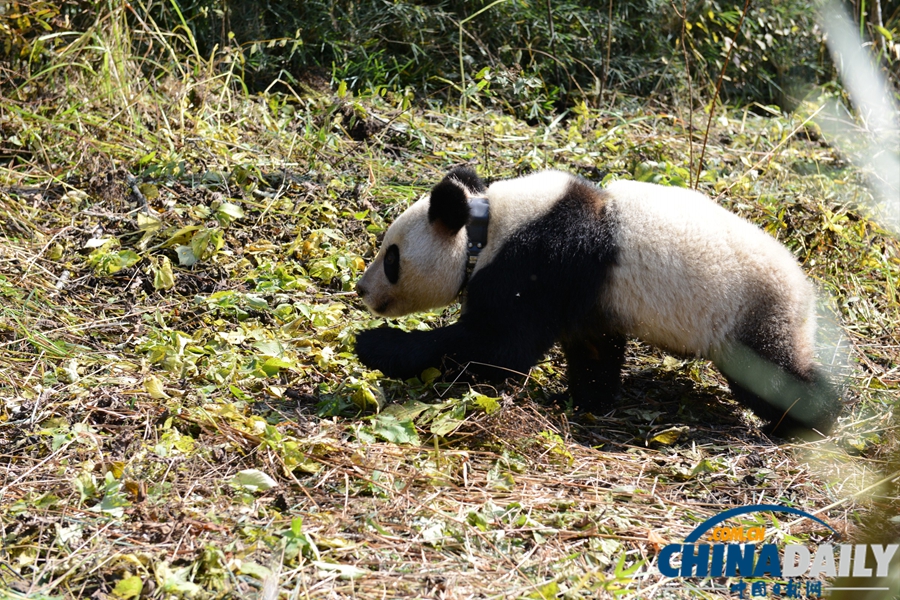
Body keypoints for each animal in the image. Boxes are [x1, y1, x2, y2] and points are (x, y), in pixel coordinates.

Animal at [354, 166, 844, 438]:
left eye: (391, 257)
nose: (361, 289)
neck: (486, 225)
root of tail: (804, 288)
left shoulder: (539, 258)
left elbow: (500, 346)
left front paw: (375, 345)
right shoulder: (587, 295)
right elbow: (592, 347)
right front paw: (587, 399)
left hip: (750, 310)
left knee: (773, 373)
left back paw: (809, 422)